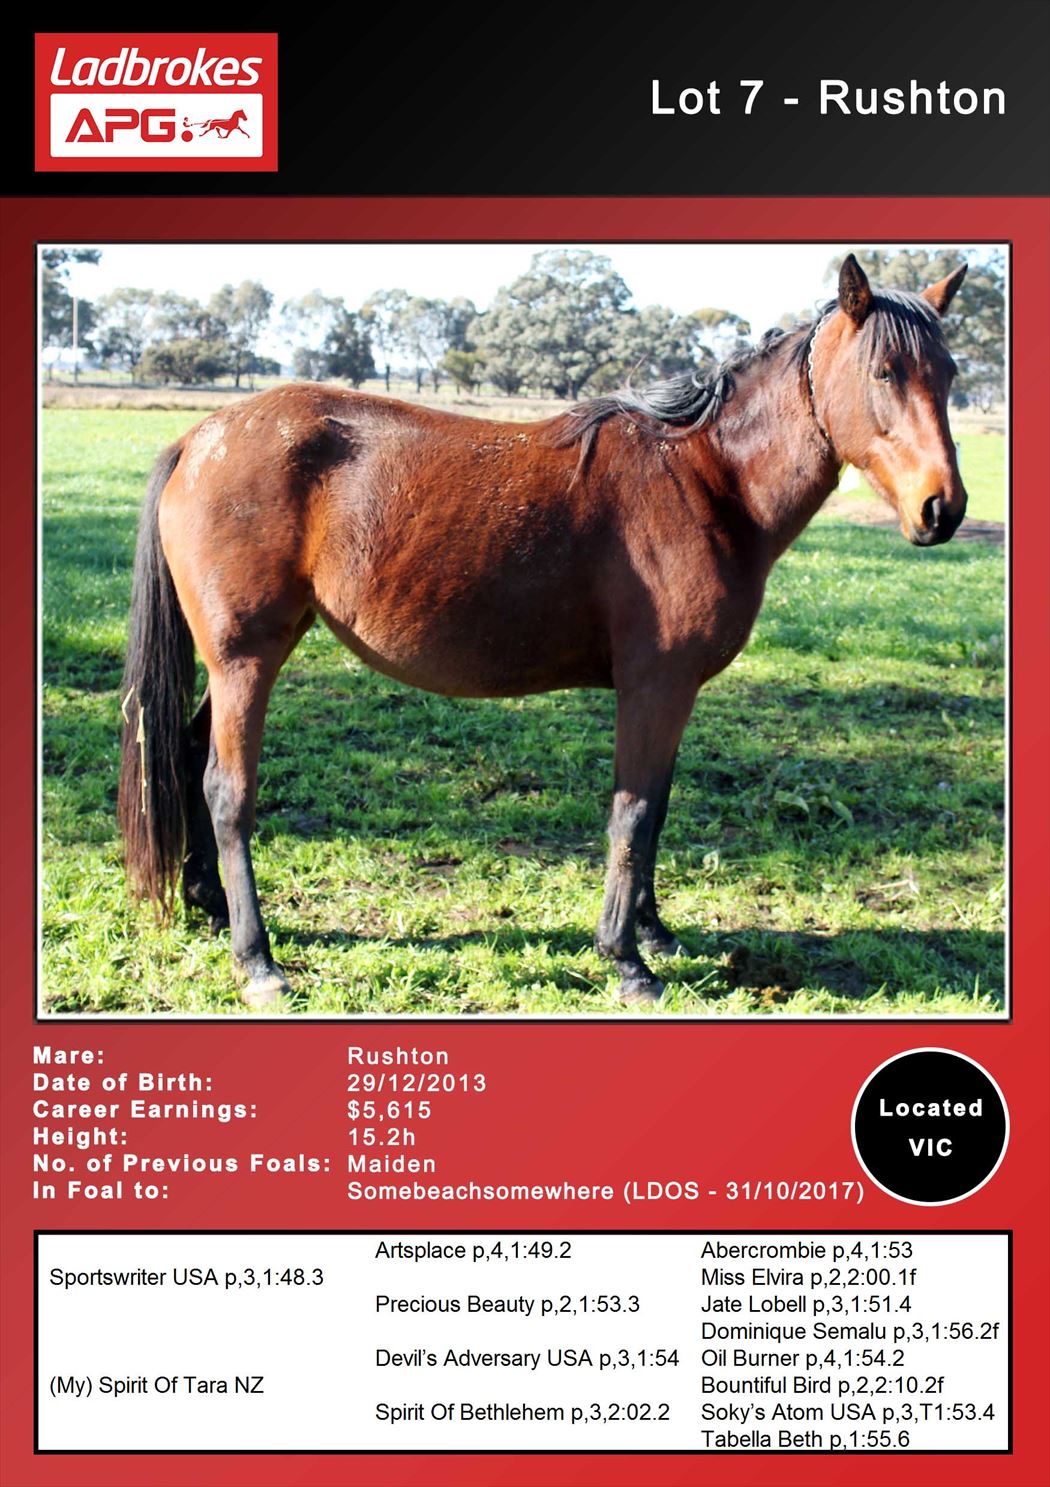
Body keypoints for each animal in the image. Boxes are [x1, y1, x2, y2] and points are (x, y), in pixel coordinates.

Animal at [117, 255, 968, 1009]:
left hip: (249, 655)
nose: (944, 507)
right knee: (227, 791)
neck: (703, 477)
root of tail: (200, 439)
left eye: (952, 373)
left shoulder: (673, 693)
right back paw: (257, 959)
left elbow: (656, 807)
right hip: (245, 659)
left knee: (186, 752)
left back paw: (211, 906)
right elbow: (632, 812)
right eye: (886, 372)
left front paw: (654, 933)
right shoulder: (654, 685)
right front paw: (627, 962)